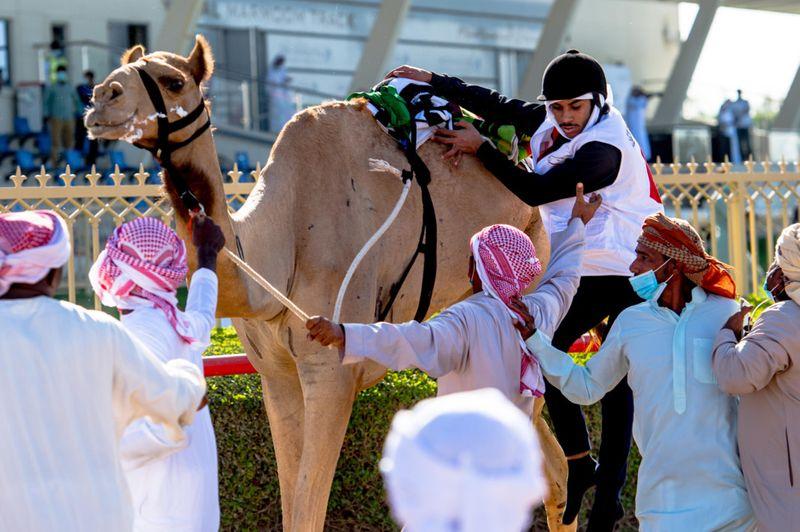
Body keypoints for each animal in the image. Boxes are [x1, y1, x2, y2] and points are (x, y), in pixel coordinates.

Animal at [86, 35, 576, 528]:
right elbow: (292, 502)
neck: (277, 250)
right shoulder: (275, 374)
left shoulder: (332, 374)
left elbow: (308, 510)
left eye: (174, 81)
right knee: (550, 473)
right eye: (119, 72)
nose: (101, 97)